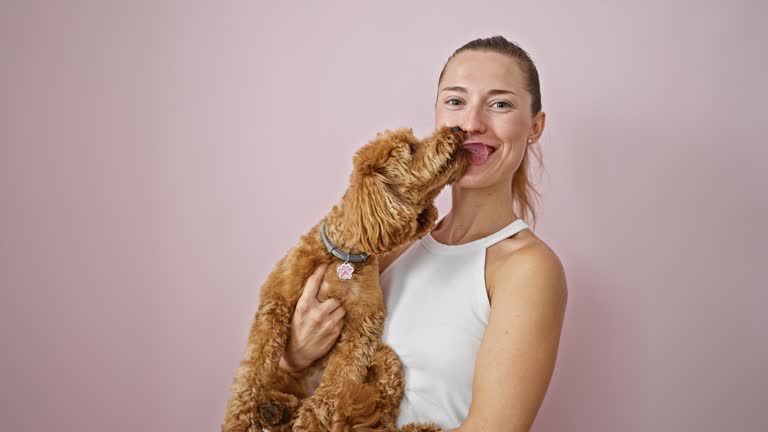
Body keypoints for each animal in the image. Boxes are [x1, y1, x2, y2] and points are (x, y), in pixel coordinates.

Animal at [220, 125, 468, 432]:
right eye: (411, 148)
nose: (455, 128)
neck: (344, 255)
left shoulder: (361, 326)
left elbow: (339, 380)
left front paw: (313, 422)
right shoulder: (275, 302)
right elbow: (255, 367)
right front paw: (239, 419)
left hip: (386, 359)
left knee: (379, 414)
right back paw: (273, 409)